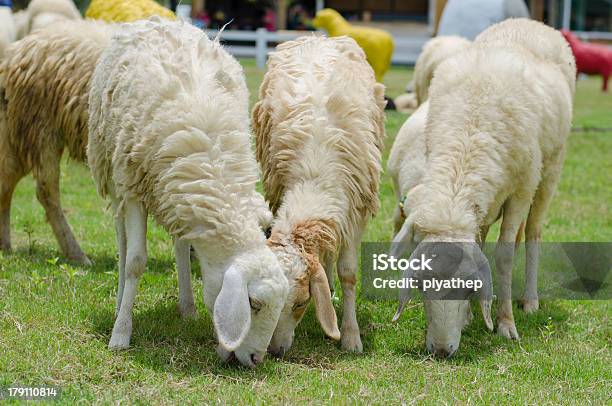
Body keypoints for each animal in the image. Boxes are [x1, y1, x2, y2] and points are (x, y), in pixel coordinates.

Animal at [0, 20, 112, 264]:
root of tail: (14, 51)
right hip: (39, 130)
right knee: (46, 191)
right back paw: (76, 254)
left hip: (17, 134)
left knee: (5, 181)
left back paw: (4, 245)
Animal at [88, 18, 290, 368]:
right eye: (253, 303)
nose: (256, 359)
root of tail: (161, 20)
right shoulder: (134, 185)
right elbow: (136, 261)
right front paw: (120, 335)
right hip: (111, 166)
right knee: (122, 240)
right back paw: (120, 300)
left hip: (176, 195)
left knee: (181, 243)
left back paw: (187, 306)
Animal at [251, 35, 384, 354]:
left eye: (301, 303)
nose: (275, 351)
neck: (314, 176)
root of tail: (317, 36)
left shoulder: (355, 213)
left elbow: (348, 272)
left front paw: (350, 336)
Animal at [390, 17, 576, 356]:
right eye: (422, 285)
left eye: (467, 286)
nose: (441, 351)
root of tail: (530, 21)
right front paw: (470, 317)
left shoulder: (521, 191)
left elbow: (503, 257)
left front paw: (505, 323)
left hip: (549, 171)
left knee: (532, 232)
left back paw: (529, 301)